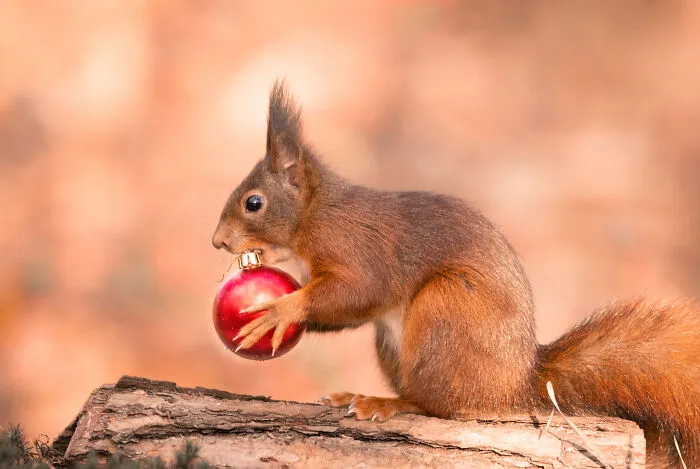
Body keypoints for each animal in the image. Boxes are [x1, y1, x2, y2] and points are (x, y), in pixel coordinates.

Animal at [212, 81, 699, 468]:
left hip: (445, 309)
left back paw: (385, 402)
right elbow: (348, 313)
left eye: (253, 203)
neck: (313, 214)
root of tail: (513, 386)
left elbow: (357, 291)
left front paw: (281, 310)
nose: (217, 242)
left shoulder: (356, 247)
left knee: (434, 407)